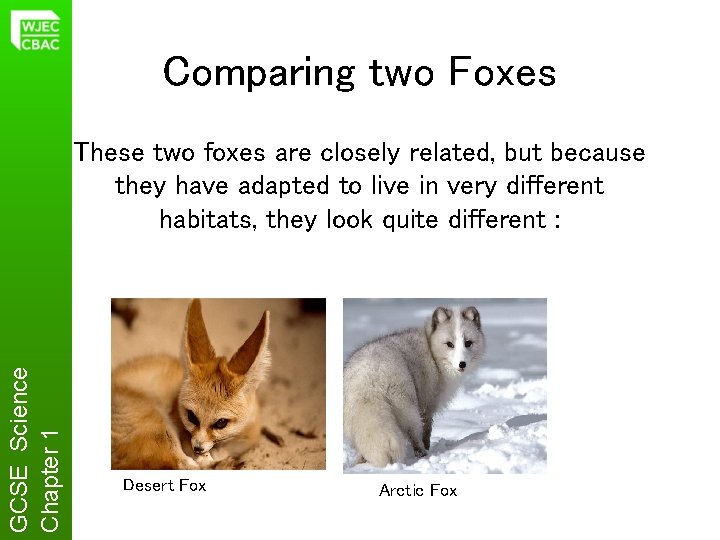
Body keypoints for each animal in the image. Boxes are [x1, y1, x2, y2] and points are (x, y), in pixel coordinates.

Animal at [111, 299, 271, 469]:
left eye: (221, 423)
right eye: (191, 416)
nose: (198, 448)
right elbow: (201, 461)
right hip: (157, 422)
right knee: (183, 464)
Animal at [343, 306, 485, 467]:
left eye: (468, 343)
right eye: (450, 344)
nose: (462, 364)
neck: (431, 349)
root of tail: (369, 379)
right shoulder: (427, 405)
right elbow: (427, 430)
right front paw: (427, 447)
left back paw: (360, 462)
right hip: (408, 409)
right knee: (414, 434)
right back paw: (422, 454)